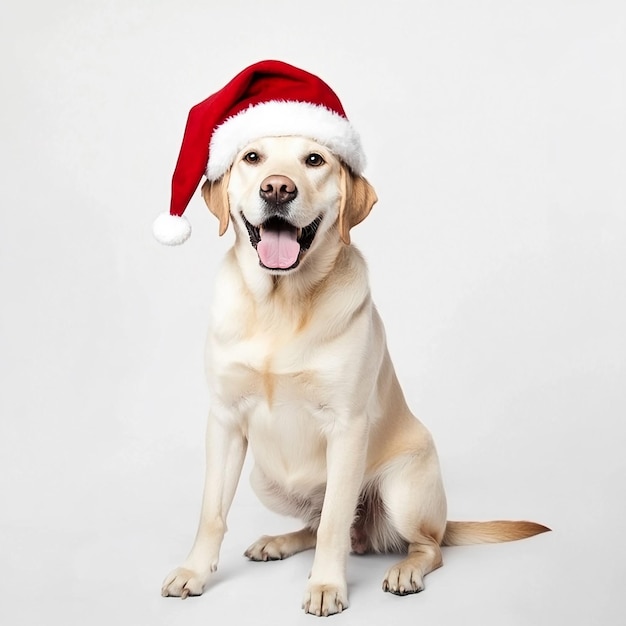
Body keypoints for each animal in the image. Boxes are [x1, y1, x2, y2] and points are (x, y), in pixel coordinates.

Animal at [158, 134, 548, 612]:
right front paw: (194, 572)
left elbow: (333, 523)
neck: (280, 305)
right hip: (264, 480)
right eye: (252, 157)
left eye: (314, 159)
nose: (277, 188)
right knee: (319, 526)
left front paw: (326, 586)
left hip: (403, 491)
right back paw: (279, 542)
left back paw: (404, 570)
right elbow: (212, 512)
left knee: (424, 545)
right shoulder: (226, 421)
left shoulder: (346, 427)